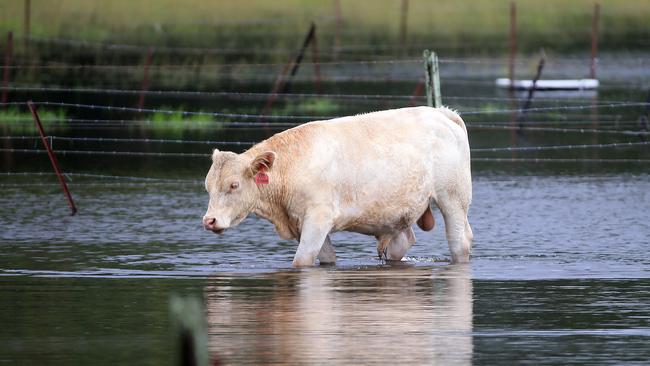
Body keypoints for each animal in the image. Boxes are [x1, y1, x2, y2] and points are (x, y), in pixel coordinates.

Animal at [202, 106, 470, 266]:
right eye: (208, 187)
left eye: (234, 185)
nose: (209, 221)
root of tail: (441, 113)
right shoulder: (302, 223)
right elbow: (327, 258)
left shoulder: (318, 218)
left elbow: (302, 260)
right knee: (403, 242)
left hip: (453, 198)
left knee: (460, 242)